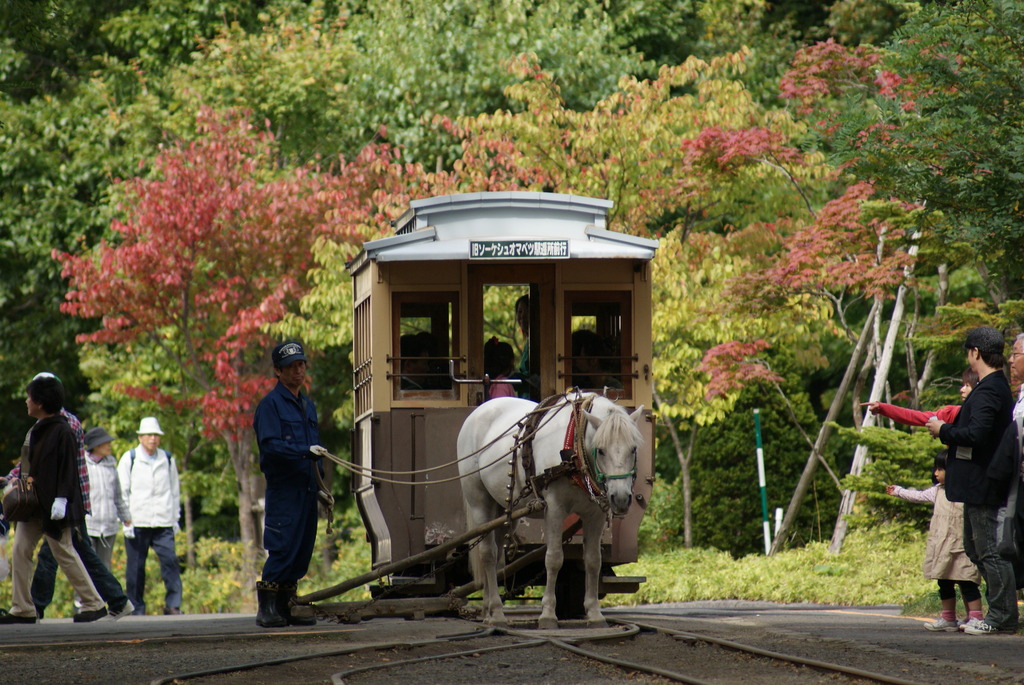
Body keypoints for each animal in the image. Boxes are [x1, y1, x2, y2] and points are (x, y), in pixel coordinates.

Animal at [460, 393, 643, 626]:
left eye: (633, 449)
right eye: (601, 450)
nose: (620, 498)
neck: (574, 449)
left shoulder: (595, 514)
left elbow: (593, 560)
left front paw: (594, 613)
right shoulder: (555, 508)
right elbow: (554, 558)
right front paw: (547, 613)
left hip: (502, 506)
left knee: (498, 555)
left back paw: (489, 611)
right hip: (478, 500)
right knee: (487, 554)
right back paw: (497, 612)